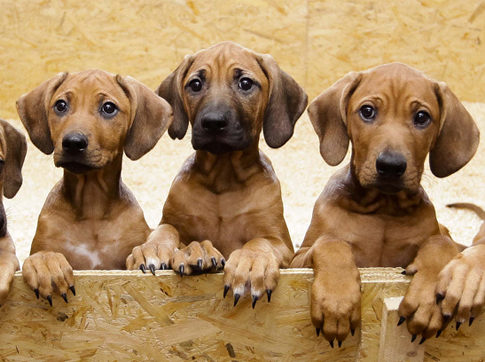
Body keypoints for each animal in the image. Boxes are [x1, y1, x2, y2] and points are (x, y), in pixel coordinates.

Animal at [16, 69, 172, 304]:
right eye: (60, 105)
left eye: (108, 108)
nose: (73, 142)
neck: (92, 206)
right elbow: (39, 254)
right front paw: (45, 263)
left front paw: (148, 251)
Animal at [125, 41, 306, 308]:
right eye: (195, 84)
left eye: (245, 83)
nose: (213, 122)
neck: (224, 177)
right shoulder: (169, 220)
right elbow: (166, 230)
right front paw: (163, 249)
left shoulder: (282, 243)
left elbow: (260, 242)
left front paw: (251, 262)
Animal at [290, 63, 478, 346]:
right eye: (367, 111)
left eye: (422, 117)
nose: (390, 166)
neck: (383, 208)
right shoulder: (297, 259)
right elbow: (330, 242)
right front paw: (337, 300)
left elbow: (441, 242)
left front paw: (428, 298)